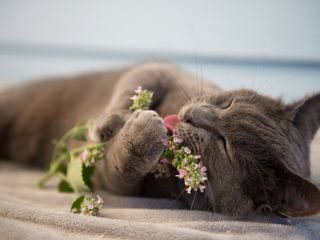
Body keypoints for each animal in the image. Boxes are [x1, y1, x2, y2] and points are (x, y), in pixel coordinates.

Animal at [0, 62, 318, 218]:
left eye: (225, 145)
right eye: (227, 102)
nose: (195, 116)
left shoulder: (122, 185)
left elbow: (120, 170)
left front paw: (140, 134)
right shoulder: (164, 70)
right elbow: (139, 78)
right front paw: (105, 124)